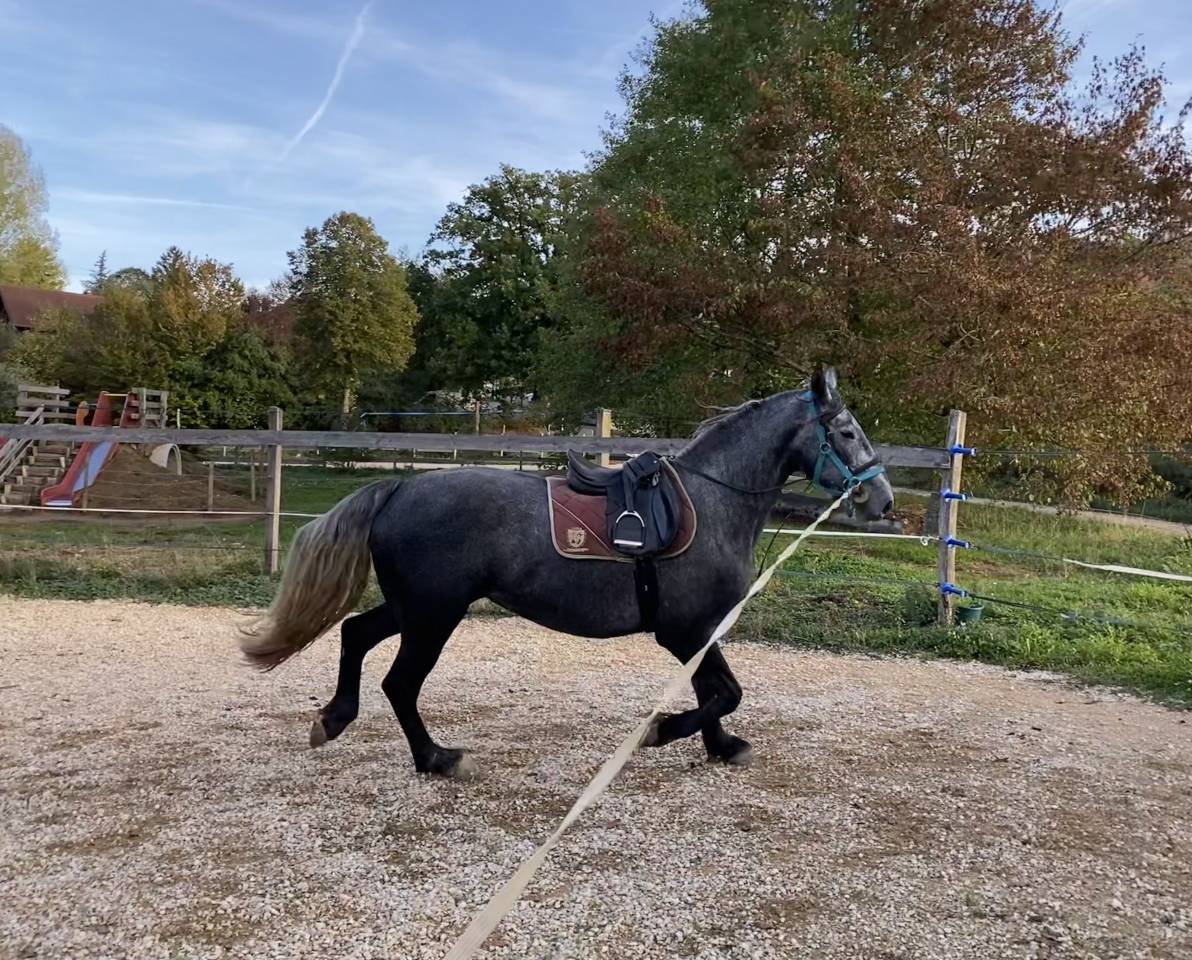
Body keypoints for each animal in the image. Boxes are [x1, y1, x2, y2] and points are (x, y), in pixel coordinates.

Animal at [241, 367, 893, 778]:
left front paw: (721, 747)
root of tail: (399, 487)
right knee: (400, 683)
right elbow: (722, 692)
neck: (711, 502)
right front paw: (664, 732)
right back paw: (437, 759)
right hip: (433, 616)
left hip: (414, 608)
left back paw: (333, 719)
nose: (882, 500)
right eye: (845, 432)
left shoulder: (700, 631)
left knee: (354, 634)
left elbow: (712, 691)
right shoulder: (685, 629)